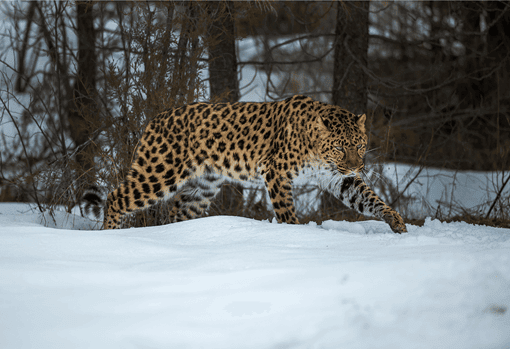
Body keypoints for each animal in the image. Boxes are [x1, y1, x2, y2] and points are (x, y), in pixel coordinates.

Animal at [83, 94, 406, 232]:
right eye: (339, 148)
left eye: (360, 146)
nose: (355, 166)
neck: (318, 152)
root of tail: (155, 119)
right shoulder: (276, 172)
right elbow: (286, 211)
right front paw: (296, 234)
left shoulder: (338, 178)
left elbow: (370, 198)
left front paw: (396, 221)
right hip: (159, 171)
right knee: (115, 198)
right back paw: (109, 235)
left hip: (202, 188)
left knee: (174, 214)